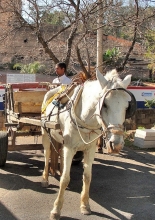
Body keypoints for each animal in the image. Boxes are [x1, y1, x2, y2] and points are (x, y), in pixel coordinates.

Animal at [40, 69, 136, 220]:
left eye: (127, 107)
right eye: (105, 104)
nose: (116, 145)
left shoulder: (90, 149)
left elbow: (87, 177)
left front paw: (85, 205)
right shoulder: (70, 148)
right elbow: (65, 179)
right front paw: (56, 209)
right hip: (45, 133)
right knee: (47, 153)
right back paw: (45, 178)